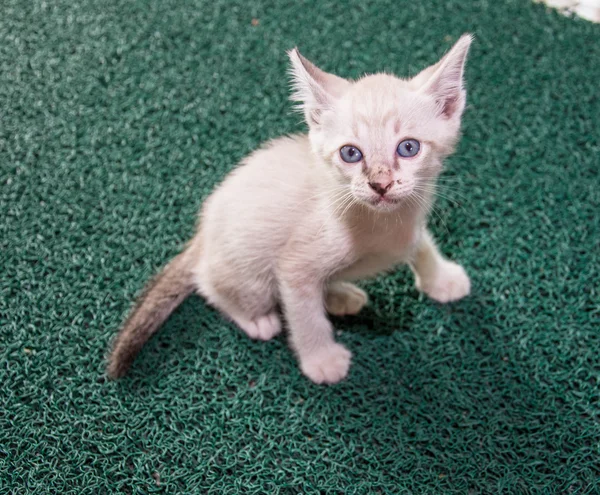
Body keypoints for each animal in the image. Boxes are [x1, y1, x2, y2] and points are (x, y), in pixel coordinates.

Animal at [106, 35, 474, 386]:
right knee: (210, 284)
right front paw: (321, 360)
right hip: (248, 275)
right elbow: (304, 315)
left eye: (408, 147)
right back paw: (259, 318)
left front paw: (442, 279)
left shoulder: (412, 217)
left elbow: (422, 245)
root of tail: (202, 234)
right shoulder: (295, 266)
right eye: (351, 153)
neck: (385, 225)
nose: (379, 185)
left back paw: (340, 295)